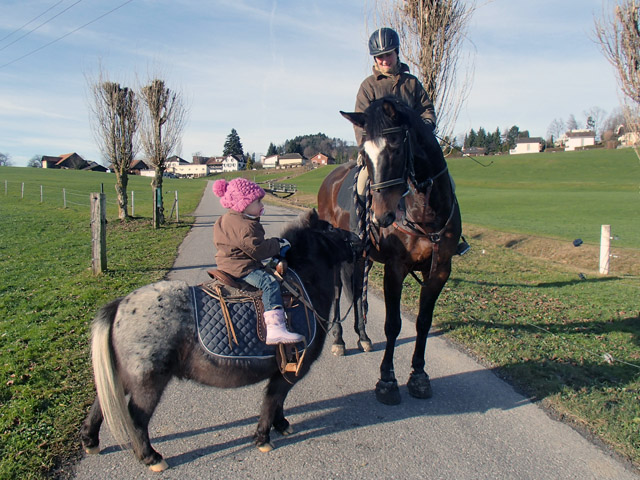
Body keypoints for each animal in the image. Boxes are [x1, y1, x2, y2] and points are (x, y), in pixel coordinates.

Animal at [80, 211, 360, 472]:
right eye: (330, 228)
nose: (358, 240)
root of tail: (120, 305)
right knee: (137, 419)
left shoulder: (283, 369)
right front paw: (262, 438)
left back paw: (90, 441)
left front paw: (281, 425)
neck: (303, 287)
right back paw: (152, 457)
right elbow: (272, 401)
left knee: (102, 404)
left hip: (125, 376)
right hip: (147, 383)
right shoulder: (291, 370)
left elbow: (278, 400)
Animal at [318, 97, 460, 404]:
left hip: (361, 258)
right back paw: (339, 339)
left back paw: (362, 337)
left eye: (395, 146)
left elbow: (423, 322)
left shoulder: (439, 271)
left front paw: (419, 375)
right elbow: (393, 324)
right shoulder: (395, 270)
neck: (425, 214)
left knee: (357, 292)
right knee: (337, 292)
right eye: (365, 153)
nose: (380, 216)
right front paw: (387, 380)